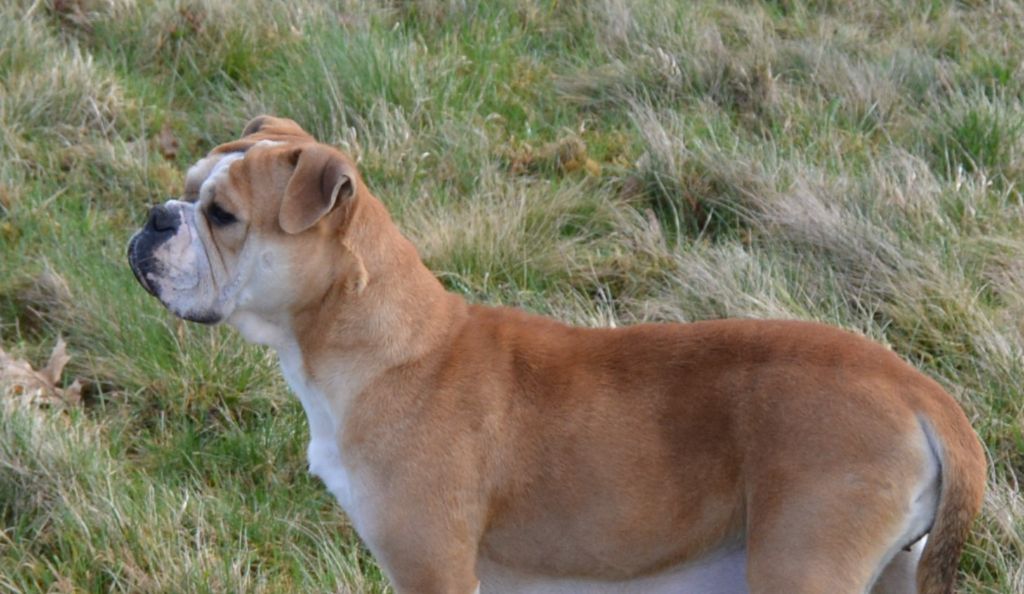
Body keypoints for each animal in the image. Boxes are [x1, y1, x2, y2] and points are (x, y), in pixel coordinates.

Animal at [128, 116, 983, 594]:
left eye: (222, 215)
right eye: (187, 188)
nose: (156, 216)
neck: (387, 348)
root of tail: (917, 389)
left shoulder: (434, 570)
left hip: (800, 567)